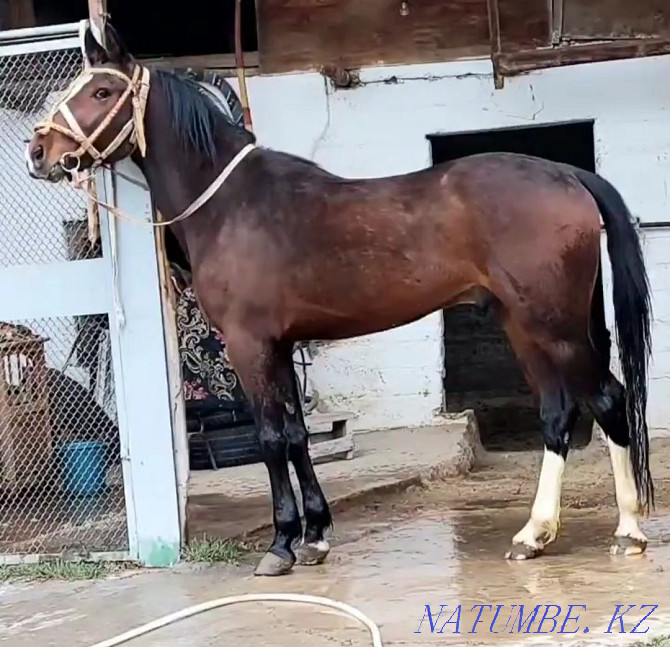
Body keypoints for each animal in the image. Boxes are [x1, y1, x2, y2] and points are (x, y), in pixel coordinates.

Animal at [27, 21, 656, 576]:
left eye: (102, 91)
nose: (39, 152)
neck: (233, 204)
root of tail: (567, 175)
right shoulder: (280, 346)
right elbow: (297, 434)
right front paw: (314, 536)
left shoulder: (249, 345)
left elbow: (269, 437)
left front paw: (281, 544)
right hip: (523, 327)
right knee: (559, 414)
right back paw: (534, 535)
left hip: (555, 326)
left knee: (607, 400)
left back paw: (627, 531)